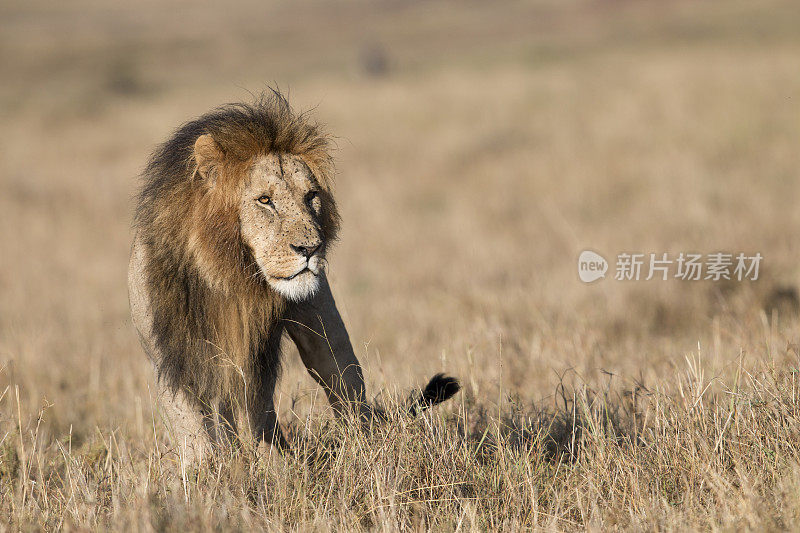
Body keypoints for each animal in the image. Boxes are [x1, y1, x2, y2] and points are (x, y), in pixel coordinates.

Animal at [129, 91, 460, 458]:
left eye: (311, 196)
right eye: (265, 200)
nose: (311, 248)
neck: (228, 276)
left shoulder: (252, 360)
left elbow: (254, 415)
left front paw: (267, 464)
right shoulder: (172, 355)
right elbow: (194, 430)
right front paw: (209, 471)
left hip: (323, 327)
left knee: (344, 382)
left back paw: (367, 448)